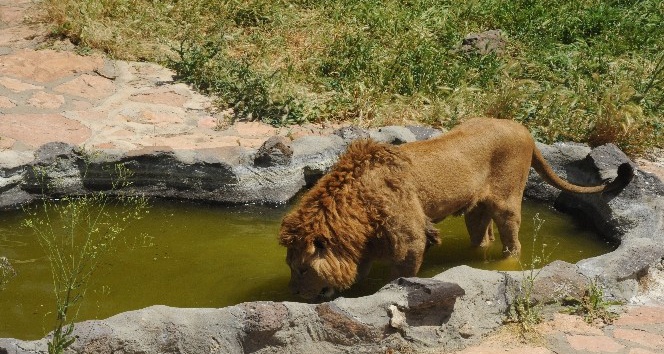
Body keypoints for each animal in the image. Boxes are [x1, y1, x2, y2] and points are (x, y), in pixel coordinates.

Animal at [278, 117, 632, 298]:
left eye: (302, 269)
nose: (295, 295)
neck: (353, 203)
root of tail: (523, 129)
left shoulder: (410, 241)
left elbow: (398, 276)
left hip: (507, 203)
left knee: (513, 245)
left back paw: (504, 266)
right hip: (476, 211)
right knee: (483, 238)